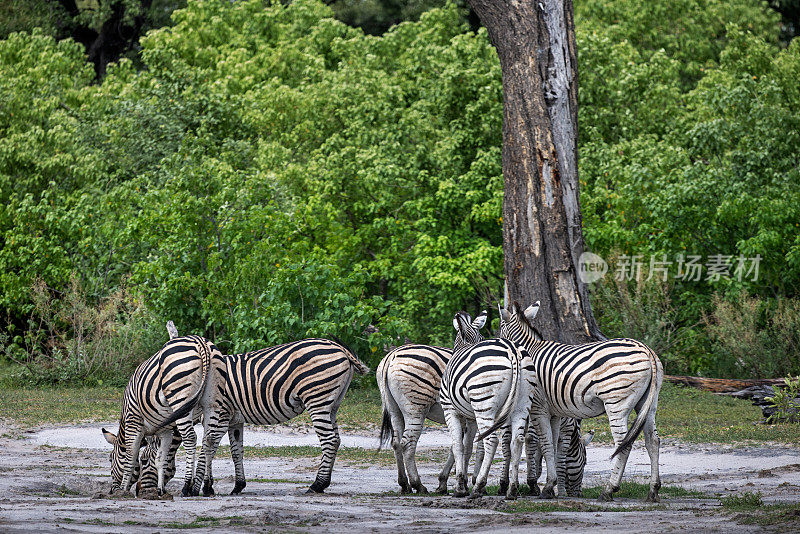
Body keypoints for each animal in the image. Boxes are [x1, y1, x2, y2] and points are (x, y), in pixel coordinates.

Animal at [102, 336, 225, 498]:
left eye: (110, 459)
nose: (111, 491)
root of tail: (200, 342)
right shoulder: (165, 432)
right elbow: (161, 459)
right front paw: (161, 490)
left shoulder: (133, 422)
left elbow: (130, 456)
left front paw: (123, 490)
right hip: (213, 402)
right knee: (210, 439)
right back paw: (207, 486)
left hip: (181, 398)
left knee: (190, 438)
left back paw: (187, 486)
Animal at [191, 340, 372, 498]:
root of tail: (340, 348)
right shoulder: (234, 420)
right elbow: (236, 452)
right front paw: (238, 486)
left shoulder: (222, 416)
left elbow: (208, 449)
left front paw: (200, 488)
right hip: (332, 405)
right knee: (337, 439)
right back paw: (324, 483)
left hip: (317, 399)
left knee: (330, 440)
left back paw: (317, 485)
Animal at [376, 312, 488, 496]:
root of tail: (391, 356)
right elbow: (474, 448)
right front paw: (472, 483)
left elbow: (458, 446)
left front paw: (445, 482)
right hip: (416, 407)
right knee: (407, 443)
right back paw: (418, 485)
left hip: (394, 408)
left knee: (396, 442)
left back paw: (405, 484)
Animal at [438, 312, 532, 500]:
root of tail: (512, 349)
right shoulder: (471, 418)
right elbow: (468, 447)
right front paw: (464, 483)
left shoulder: (450, 410)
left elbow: (458, 445)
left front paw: (461, 487)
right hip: (522, 404)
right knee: (517, 440)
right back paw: (512, 490)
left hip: (484, 402)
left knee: (492, 440)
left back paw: (478, 487)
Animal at [500, 304, 664, 504]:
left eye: (500, 331)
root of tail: (646, 349)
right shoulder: (554, 413)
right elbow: (553, 446)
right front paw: (551, 486)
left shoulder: (539, 408)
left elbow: (545, 444)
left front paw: (547, 487)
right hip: (648, 404)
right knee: (653, 441)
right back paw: (653, 490)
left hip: (616, 403)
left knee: (623, 444)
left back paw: (609, 490)